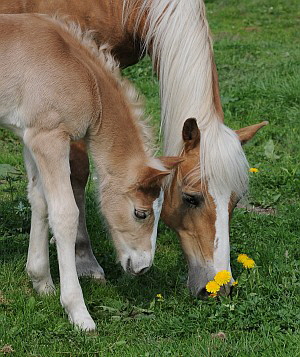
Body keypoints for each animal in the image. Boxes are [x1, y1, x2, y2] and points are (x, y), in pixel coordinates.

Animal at [0, 0, 268, 294]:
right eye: (191, 198)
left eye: (236, 200)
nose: (219, 286)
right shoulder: (59, 126)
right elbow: (73, 188)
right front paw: (83, 263)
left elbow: (45, 196)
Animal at [0, 14, 179, 330]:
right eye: (141, 213)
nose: (143, 267)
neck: (81, 74)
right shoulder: (50, 138)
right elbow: (65, 214)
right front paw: (78, 311)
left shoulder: (30, 136)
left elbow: (40, 201)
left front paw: (42, 282)